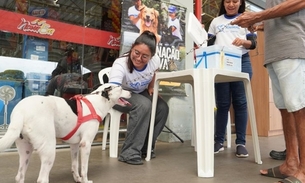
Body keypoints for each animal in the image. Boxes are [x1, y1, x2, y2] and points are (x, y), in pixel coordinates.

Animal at [0, 83, 129, 183]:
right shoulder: (86, 144)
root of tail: (20, 111)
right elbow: (84, 169)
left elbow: (75, 165)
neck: (97, 103)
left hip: (25, 150)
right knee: (42, 179)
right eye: (121, 88)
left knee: (19, 176)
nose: (131, 92)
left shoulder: (75, 144)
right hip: (49, 149)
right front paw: (85, 180)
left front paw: (77, 179)